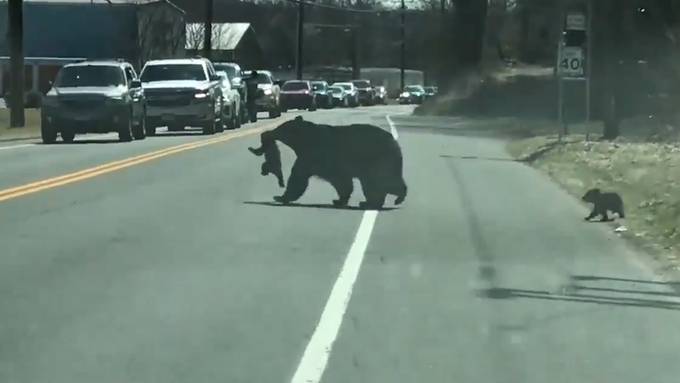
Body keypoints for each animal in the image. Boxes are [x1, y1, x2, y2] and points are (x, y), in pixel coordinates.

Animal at [252, 115, 406, 208]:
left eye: (281, 128)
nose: (267, 133)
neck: (304, 141)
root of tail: (395, 143)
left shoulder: (314, 156)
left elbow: (298, 177)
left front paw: (280, 197)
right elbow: (342, 183)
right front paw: (339, 200)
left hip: (377, 161)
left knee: (383, 182)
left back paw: (394, 197)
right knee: (374, 184)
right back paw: (370, 202)